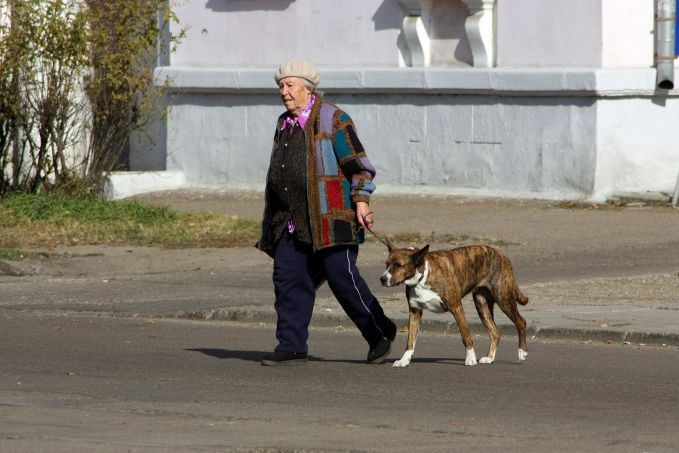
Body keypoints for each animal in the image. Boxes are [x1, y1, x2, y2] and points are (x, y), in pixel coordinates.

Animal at [379, 241, 528, 367]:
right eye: (386, 264)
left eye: (398, 265)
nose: (382, 279)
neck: (423, 276)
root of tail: (502, 255)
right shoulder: (415, 312)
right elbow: (410, 341)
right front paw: (404, 360)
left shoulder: (457, 308)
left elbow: (466, 336)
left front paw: (470, 358)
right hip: (482, 304)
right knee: (495, 332)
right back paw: (490, 358)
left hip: (503, 298)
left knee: (521, 322)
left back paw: (522, 351)